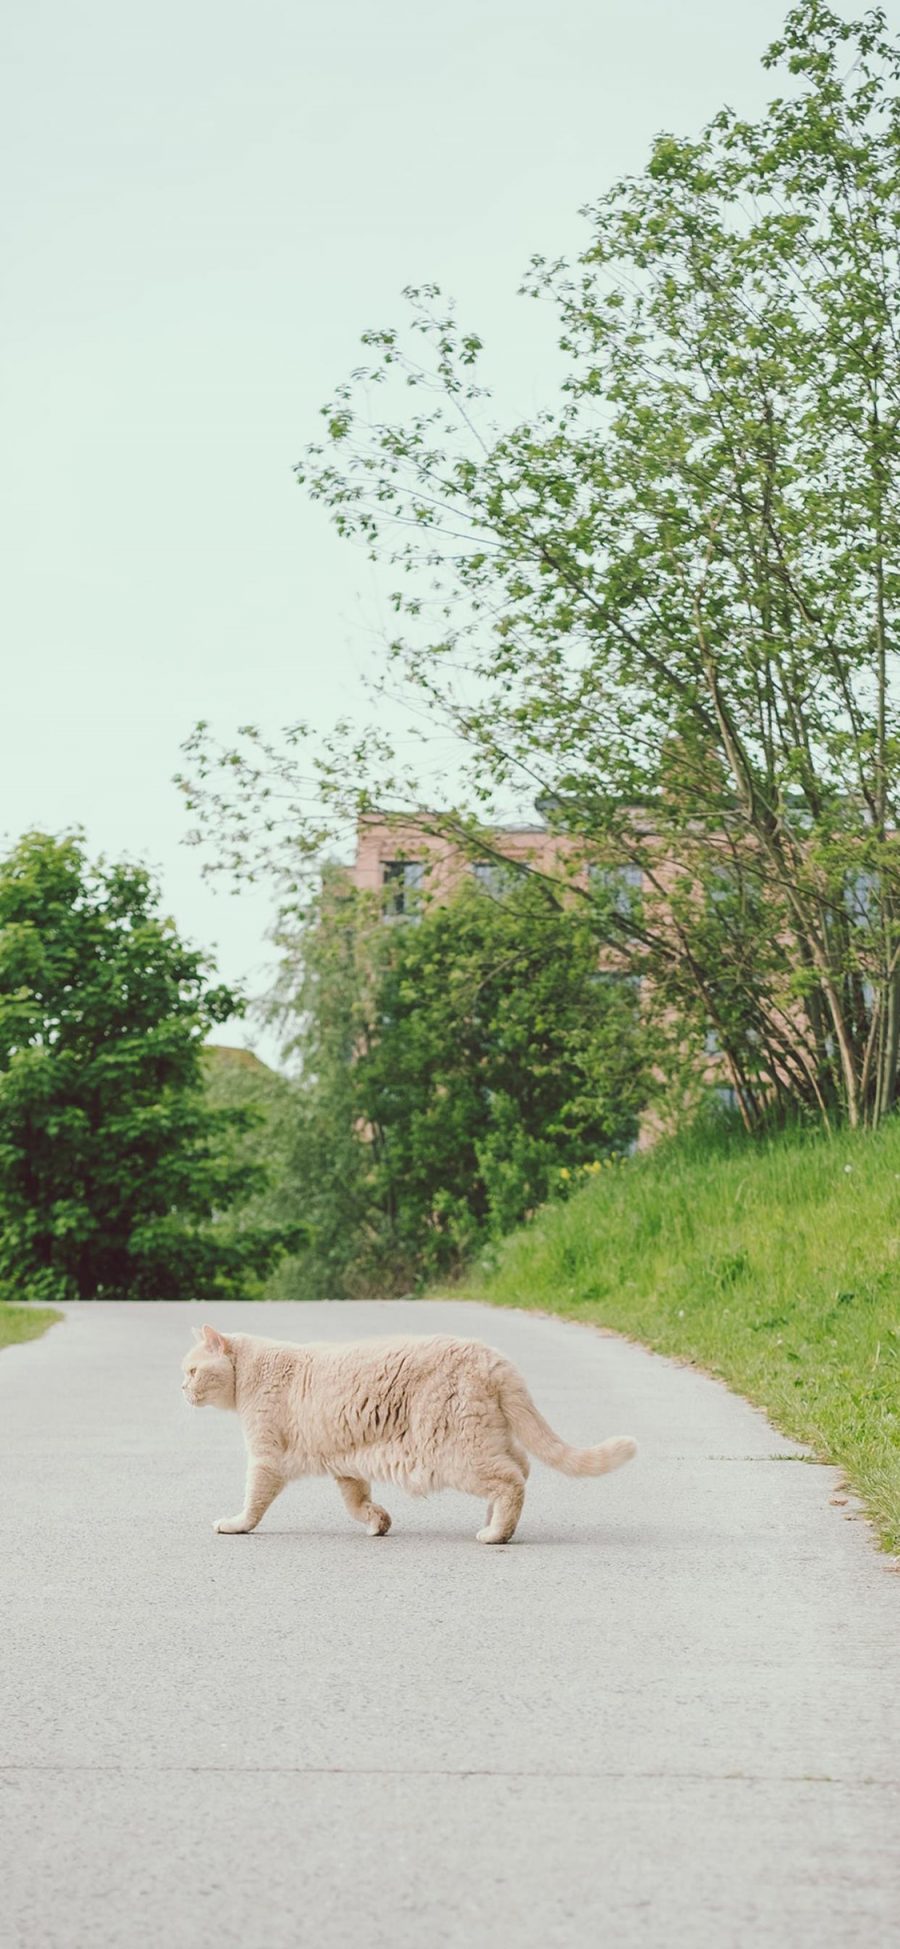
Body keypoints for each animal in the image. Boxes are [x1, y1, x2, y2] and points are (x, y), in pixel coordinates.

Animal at [181, 1317, 631, 1543]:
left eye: (192, 1371)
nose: (181, 1389)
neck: (252, 1371)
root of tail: (491, 1356)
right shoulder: (346, 1464)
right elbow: (356, 1502)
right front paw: (377, 1522)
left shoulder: (266, 1457)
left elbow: (253, 1500)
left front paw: (236, 1524)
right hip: (485, 1436)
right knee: (521, 1467)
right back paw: (494, 1521)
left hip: (455, 1451)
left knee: (511, 1480)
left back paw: (496, 1533)